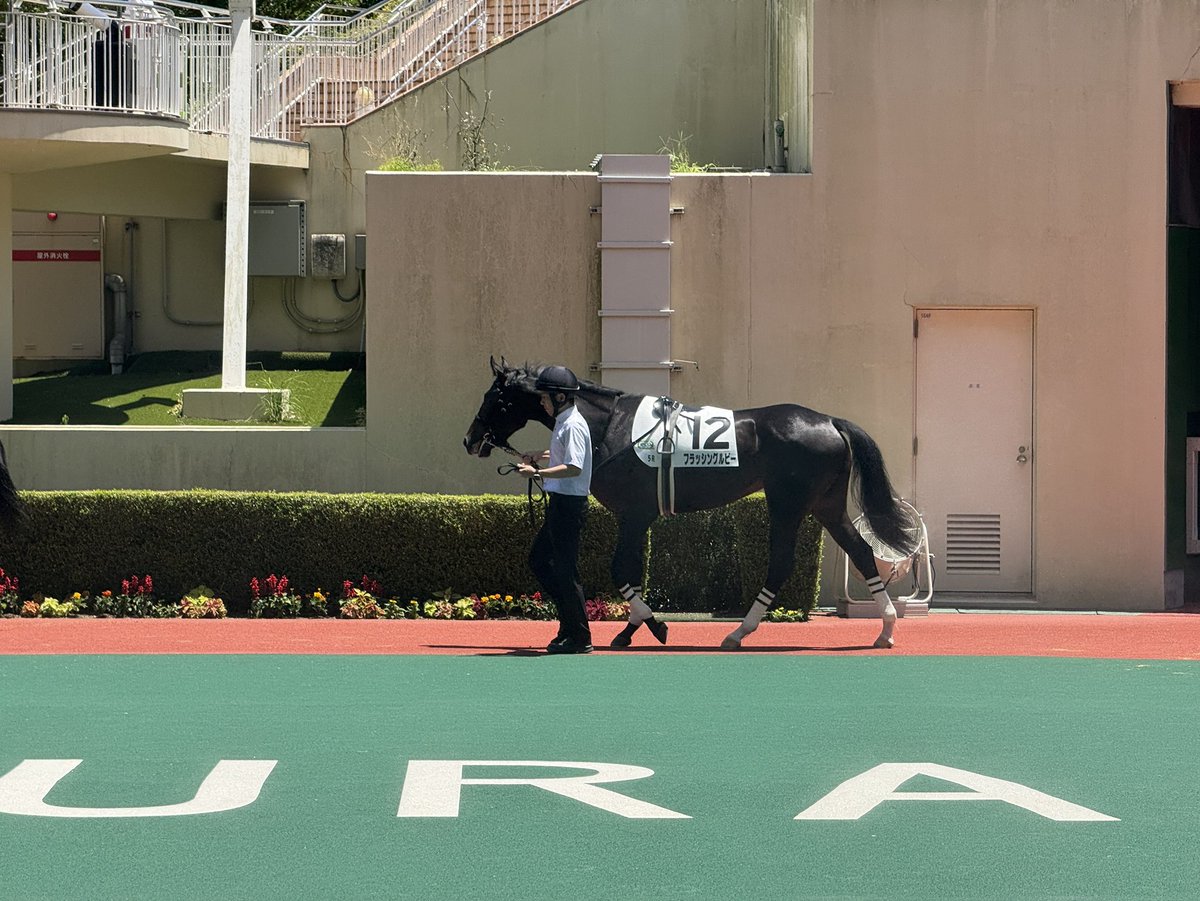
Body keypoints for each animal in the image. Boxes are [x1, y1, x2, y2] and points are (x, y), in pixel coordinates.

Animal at [463, 358, 918, 650]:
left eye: (496, 399)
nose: (470, 440)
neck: (610, 427)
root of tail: (829, 421)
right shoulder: (636, 518)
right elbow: (630, 571)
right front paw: (630, 629)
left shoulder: (635, 514)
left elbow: (622, 571)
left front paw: (654, 624)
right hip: (826, 505)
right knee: (861, 551)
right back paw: (885, 629)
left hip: (788, 504)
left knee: (781, 564)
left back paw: (739, 632)